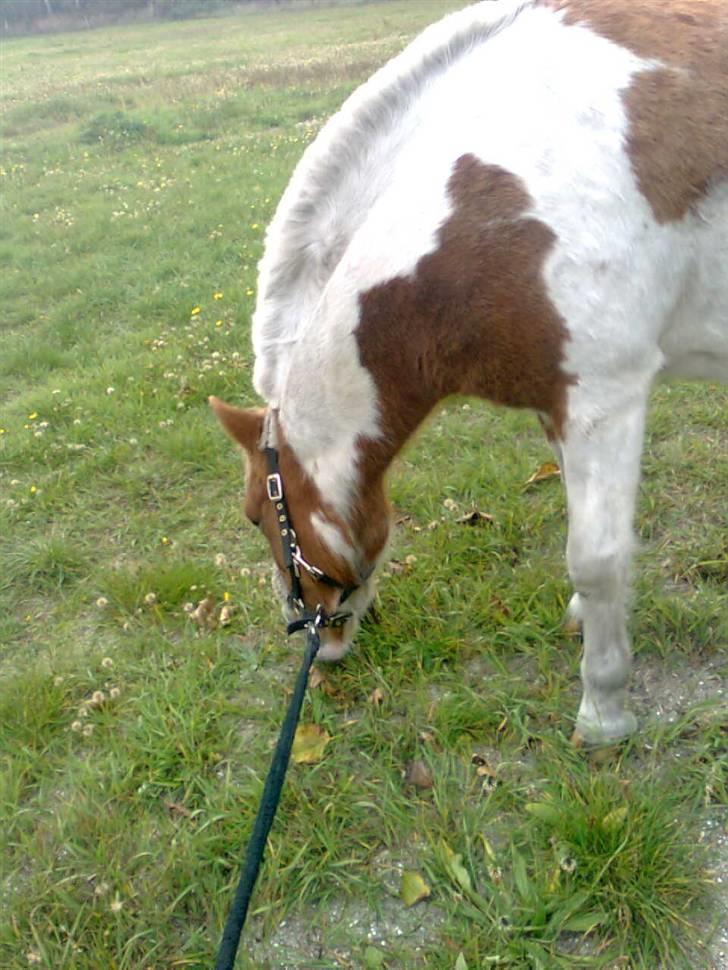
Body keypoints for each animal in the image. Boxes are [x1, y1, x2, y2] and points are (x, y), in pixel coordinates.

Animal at [210, 0, 728, 740]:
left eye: (257, 516)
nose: (317, 642)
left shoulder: (604, 400)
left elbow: (597, 560)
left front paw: (604, 712)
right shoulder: (557, 405)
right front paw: (581, 624)